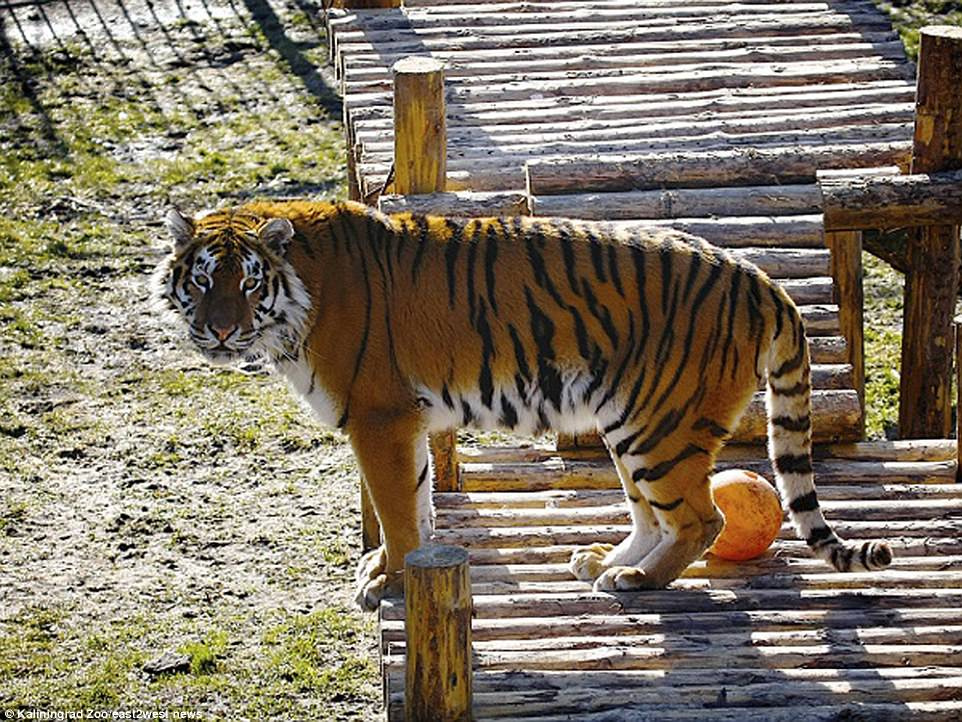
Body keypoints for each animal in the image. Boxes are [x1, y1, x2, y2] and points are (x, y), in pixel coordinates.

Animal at [152, 197, 892, 608]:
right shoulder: (403, 422)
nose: (221, 330)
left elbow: (397, 511)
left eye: (248, 283)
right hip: (632, 422)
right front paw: (397, 568)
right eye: (204, 279)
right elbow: (418, 502)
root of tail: (759, 278)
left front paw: (390, 583)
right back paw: (605, 563)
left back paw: (635, 581)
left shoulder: (378, 416)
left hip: (661, 427)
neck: (297, 295)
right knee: (653, 514)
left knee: (702, 519)